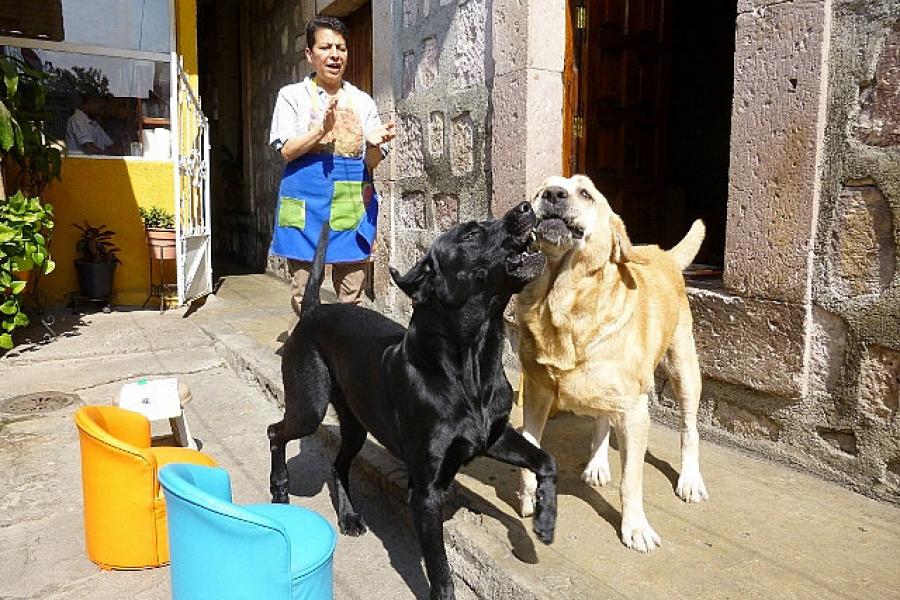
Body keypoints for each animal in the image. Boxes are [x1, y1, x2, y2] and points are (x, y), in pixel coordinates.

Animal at [268, 203, 556, 600]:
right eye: (471, 233)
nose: (528, 206)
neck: (471, 366)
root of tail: (313, 310)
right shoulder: (425, 494)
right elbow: (441, 573)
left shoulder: (495, 437)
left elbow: (545, 460)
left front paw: (544, 521)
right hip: (309, 407)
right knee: (275, 432)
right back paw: (279, 488)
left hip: (356, 424)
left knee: (338, 465)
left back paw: (349, 517)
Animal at [516, 173, 708, 552]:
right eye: (541, 188)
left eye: (585, 193)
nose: (552, 194)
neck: (560, 303)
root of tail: (662, 252)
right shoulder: (535, 393)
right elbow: (530, 446)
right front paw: (530, 495)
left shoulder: (634, 413)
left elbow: (630, 481)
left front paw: (635, 527)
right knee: (602, 420)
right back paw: (597, 463)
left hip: (684, 369)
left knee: (689, 428)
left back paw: (690, 479)